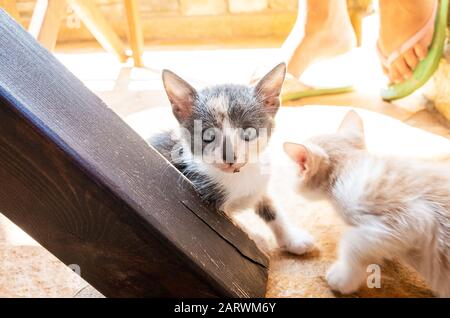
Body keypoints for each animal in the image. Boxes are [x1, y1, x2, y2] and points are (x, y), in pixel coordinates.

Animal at [149, 63, 314, 255]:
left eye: (248, 132)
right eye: (208, 135)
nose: (229, 156)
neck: (239, 176)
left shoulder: (259, 184)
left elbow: (272, 208)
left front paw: (292, 239)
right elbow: (232, 228)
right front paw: (257, 240)